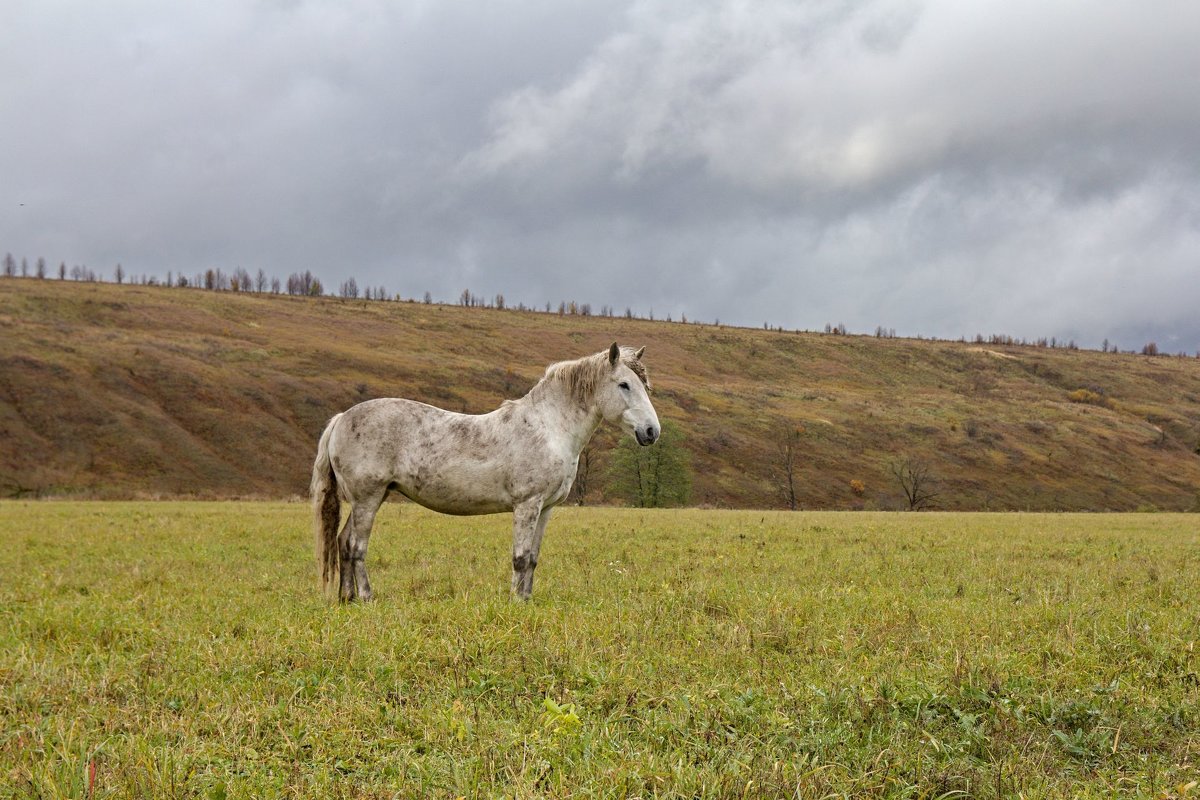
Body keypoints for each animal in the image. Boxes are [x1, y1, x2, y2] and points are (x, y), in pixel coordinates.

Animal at [309, 345, 662, 599]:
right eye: (624, 384)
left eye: (644, 386)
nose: (651, 431)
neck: (548, 427)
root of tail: (341, 418)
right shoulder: (527, 504)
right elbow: (520, 557)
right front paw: (514, 602)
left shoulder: (545, 508)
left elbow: (533, 557)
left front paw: (527, 600)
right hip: (368, 499)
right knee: (356, 547)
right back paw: (367, 597)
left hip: (371, 499)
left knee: (343, 543)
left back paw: (346, 598)